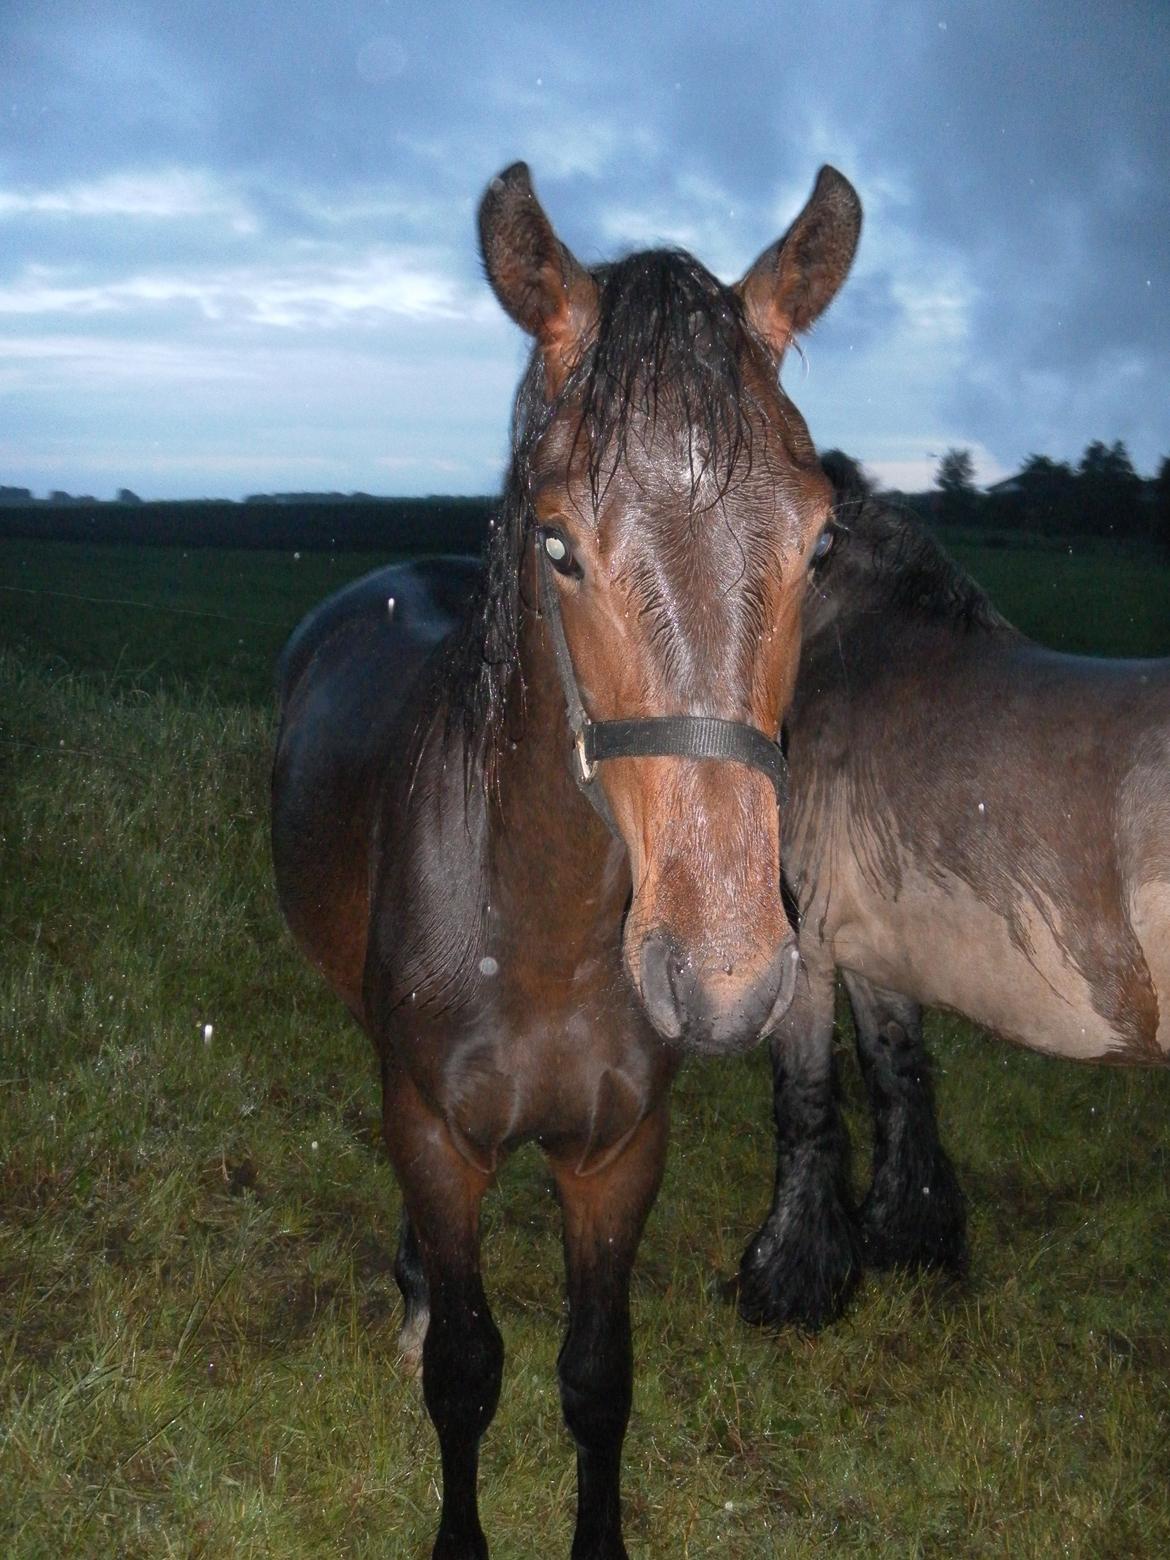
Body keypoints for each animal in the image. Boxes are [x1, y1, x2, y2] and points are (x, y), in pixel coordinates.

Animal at [273, 164, 861, 1553]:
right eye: (557, 546)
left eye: (819, 543)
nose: (726, 979)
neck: (535, 931)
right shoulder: (437, 1135)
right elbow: (466, 1372)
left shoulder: (616, 1156)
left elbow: (597, 1380)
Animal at [742, 455, 1170, 1329]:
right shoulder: (873, 956)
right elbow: (898, 1078)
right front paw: (906, 1239)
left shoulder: (808, 948)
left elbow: (804, 1103)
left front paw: (788, 1284)